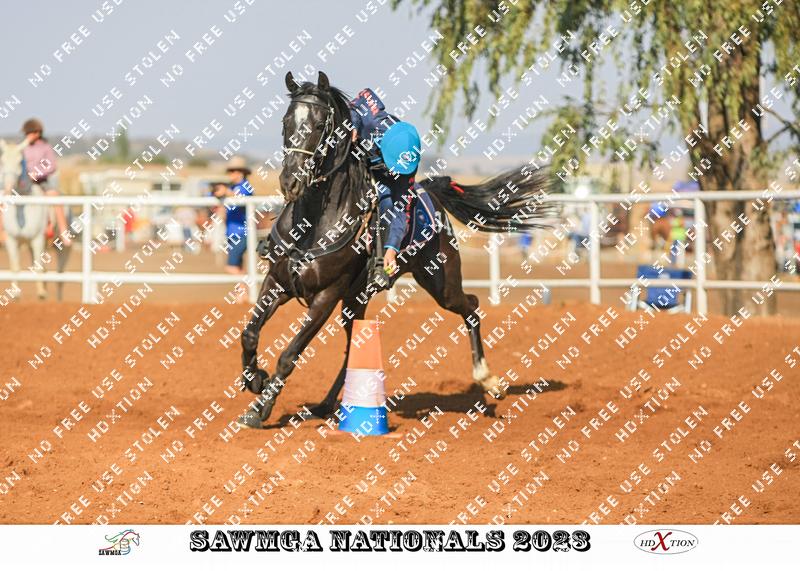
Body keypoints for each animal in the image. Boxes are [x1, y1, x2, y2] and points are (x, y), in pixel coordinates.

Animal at [0, 139, 49, 300]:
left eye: (19, 161)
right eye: (2, 161)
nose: (8, 188)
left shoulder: (38, 238)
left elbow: (38, 267)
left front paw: (41, 294)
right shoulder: (11, 239)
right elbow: (15, 268)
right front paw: (15, 294)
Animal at [236, 71, 558, 428]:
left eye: (320, 125)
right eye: (286, 122)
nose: (290, 181)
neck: (314, 225)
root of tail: (430, 190)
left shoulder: (325, 296)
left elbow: (289, 354)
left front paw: (260, 409)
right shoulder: (277, 282)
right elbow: (249, 334)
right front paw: (255, 379)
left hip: (440, 283)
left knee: (471, 306)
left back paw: (489, 380)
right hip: (356, 299)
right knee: (352, 348)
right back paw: (327, 405)